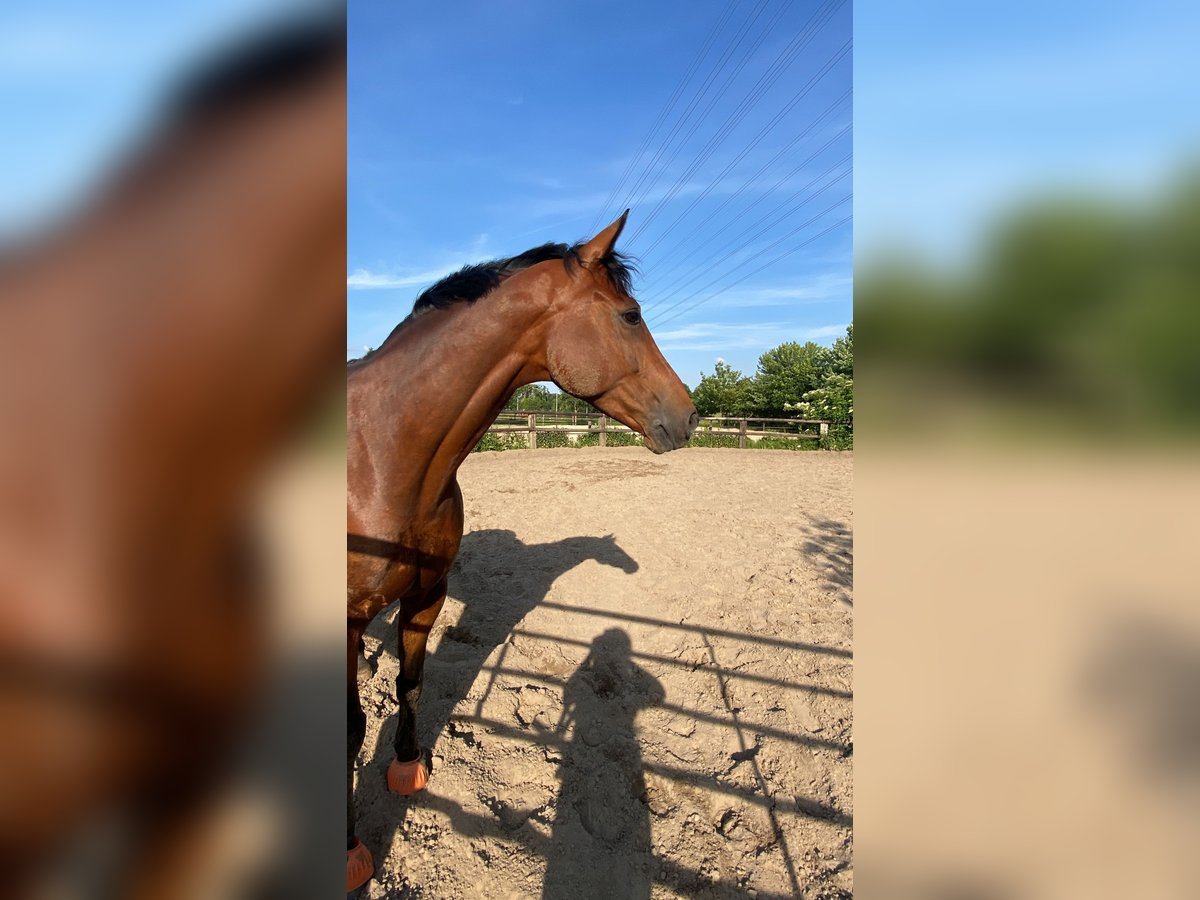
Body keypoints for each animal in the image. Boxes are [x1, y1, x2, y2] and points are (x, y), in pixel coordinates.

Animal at [343, 213, 700, 897]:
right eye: (630, 315)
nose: (691, 416)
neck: (382, 458)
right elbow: (347, 727)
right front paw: (349, 853)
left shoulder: (426, 596)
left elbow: (411, 682)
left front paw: (406, 768)